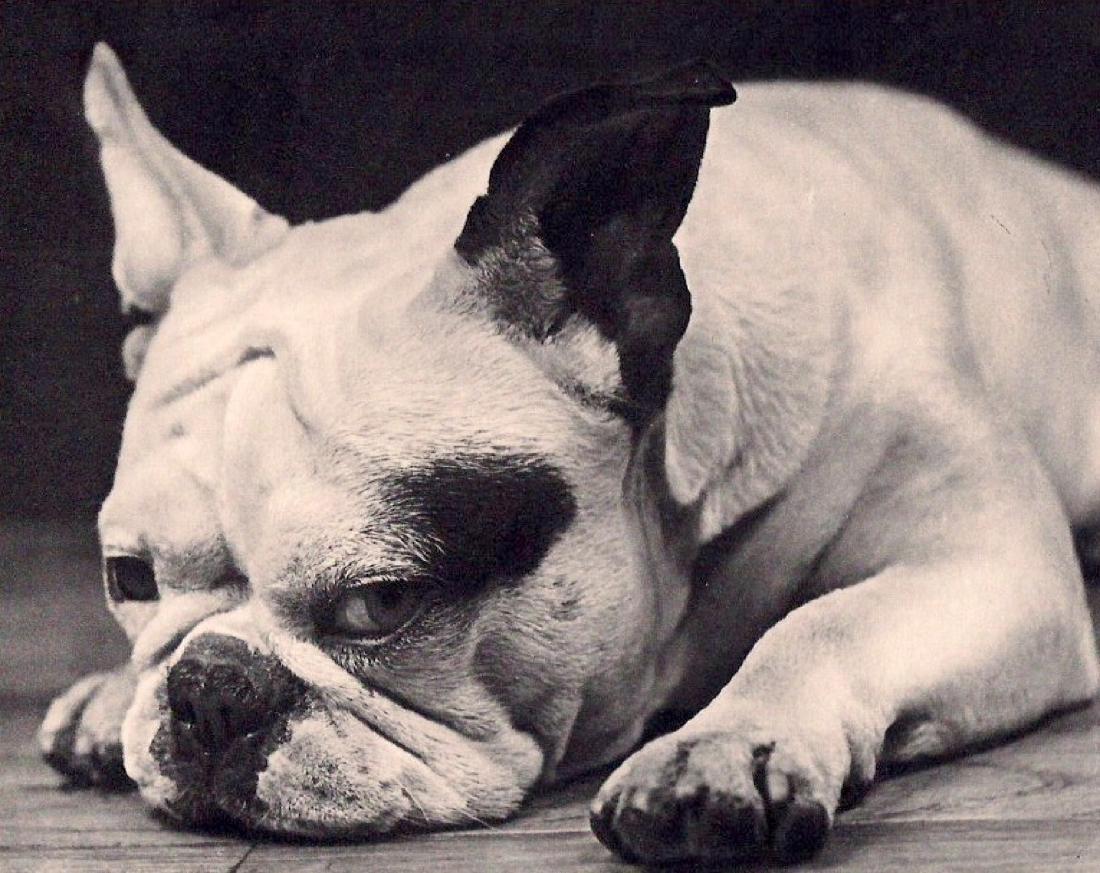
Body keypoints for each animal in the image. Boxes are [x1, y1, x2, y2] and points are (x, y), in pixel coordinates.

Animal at [38, 43, 1100, 864]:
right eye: (128, 580)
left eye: (381, 604)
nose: (209, 687)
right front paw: (117, 686)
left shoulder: (990, 565)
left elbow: (825, 624)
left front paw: (727, 744)